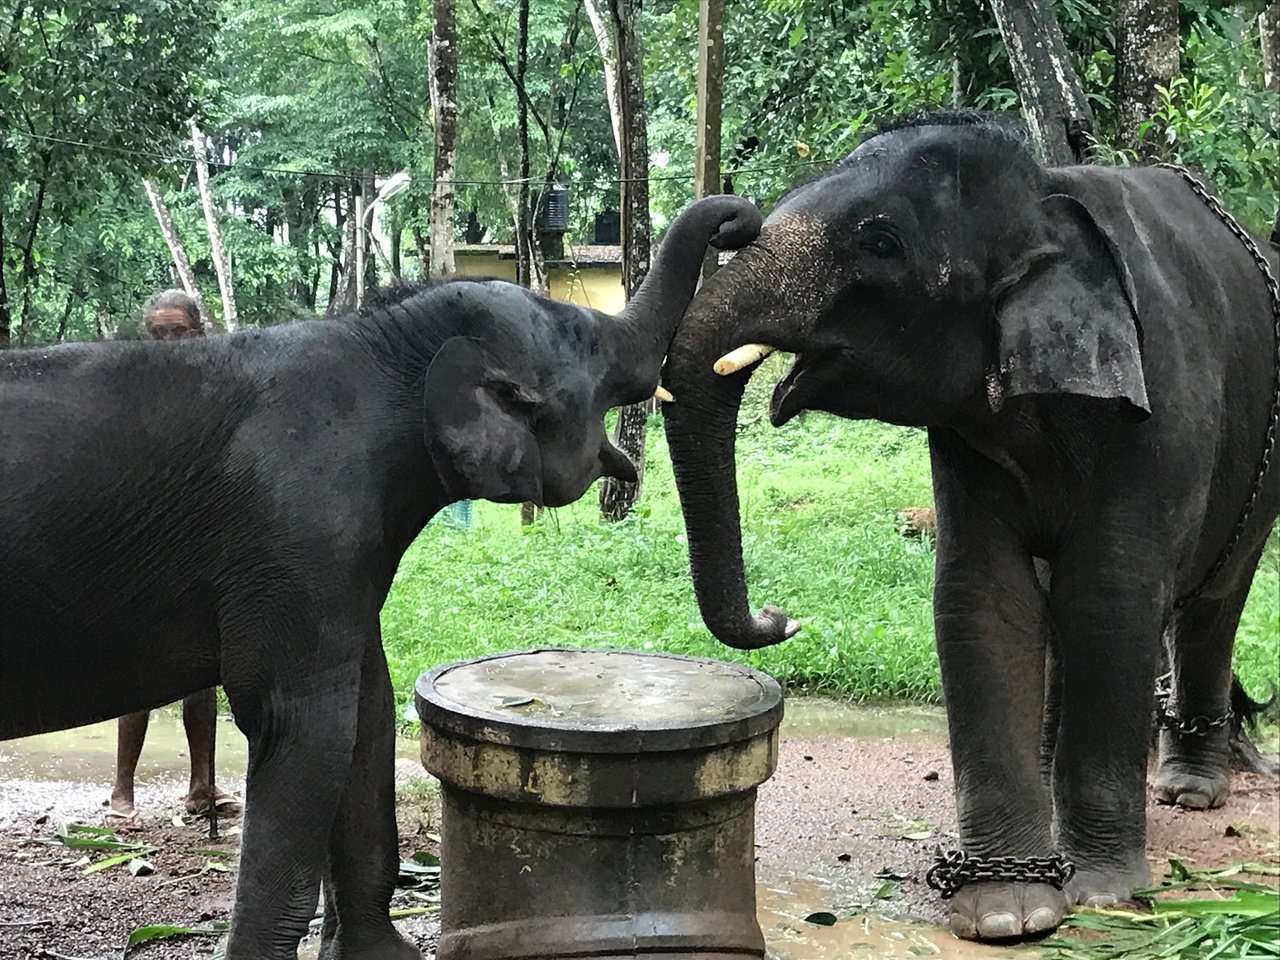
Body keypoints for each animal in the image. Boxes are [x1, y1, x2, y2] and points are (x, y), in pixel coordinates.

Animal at [0, 193, 761, 960]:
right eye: (588, 344)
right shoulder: (299, 530)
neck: (383, 336)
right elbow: (303, 727)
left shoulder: (337, 559)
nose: (740, 221)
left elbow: (367, 710)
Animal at [660, 111, 1279, 942]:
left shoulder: (1160, 412)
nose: (781, 615)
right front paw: (1006, 913)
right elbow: (982, 598)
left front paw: (1101, 894)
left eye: (881, 242)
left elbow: (1110, 598)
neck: (1048, 202)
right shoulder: (962, 433)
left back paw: (1189, 791)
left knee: (1214, 597)